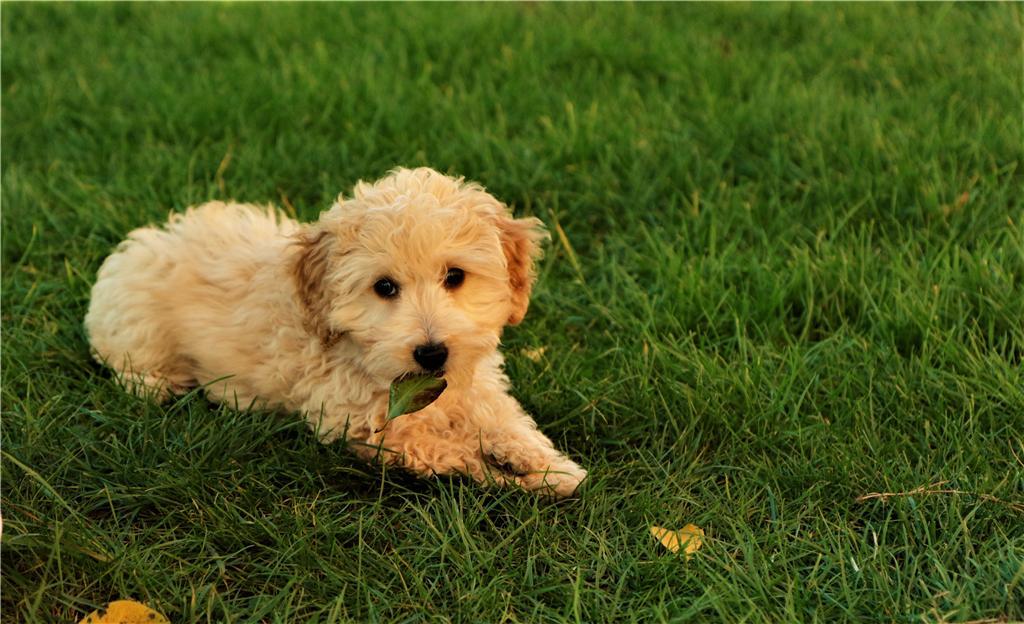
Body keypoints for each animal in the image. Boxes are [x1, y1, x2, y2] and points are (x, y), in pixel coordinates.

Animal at [84, 167, 589, 495]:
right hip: (138, 334)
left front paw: (546, 463)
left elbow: (504, 417)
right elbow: (444, 447)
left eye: (455, 277)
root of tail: (142, 242)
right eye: (384, 287)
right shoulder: (359, 424)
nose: (432, 353)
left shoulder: (474, 383)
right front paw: (502, 471)